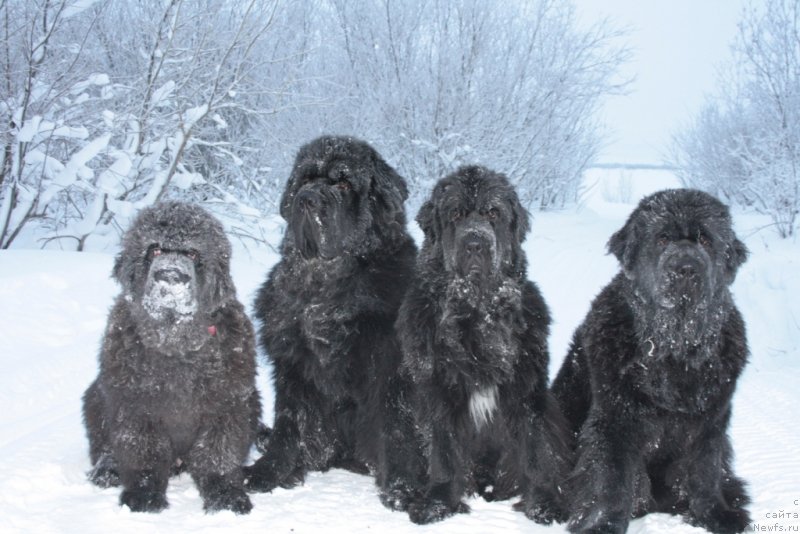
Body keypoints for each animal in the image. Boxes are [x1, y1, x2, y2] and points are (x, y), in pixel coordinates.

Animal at [244, 136, 422, 508]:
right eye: (305, 180)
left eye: (343, 183)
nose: (307, 198)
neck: (325, 287)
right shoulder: (293, 367)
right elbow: (289, 423)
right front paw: (268, 473)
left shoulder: (392, 370)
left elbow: (398, 428)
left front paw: (403, 489)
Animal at [396, 165, 572, 524]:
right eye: (456, 214)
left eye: (493, 213)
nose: (475, 242)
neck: (476, 312)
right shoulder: (439, 390)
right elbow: (444, 450)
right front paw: (438, 503)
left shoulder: (526, 390)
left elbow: (537, 448)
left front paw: (545, 503)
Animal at [552, 189, 752, 534]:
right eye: (662, 239)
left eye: (706, 240)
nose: (686, 268)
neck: (674, 349)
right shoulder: (614, 421)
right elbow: (612, 479)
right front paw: (604, 523)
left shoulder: (711, 421)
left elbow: (705, 469)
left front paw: (714, 515)